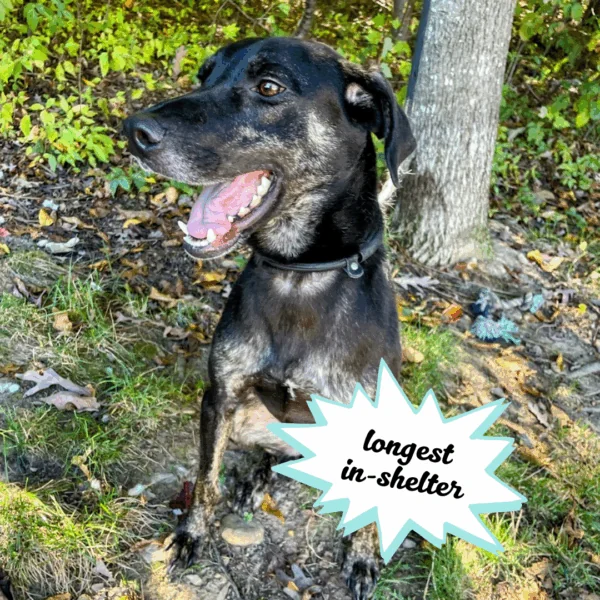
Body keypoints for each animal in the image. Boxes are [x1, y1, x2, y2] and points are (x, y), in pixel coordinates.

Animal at [123, 36, 415, 600]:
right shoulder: (219, 398)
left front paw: (363, 557)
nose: (133, 131)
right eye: (204, 75)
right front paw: (192, 534)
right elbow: (205, 480)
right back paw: (253, 479)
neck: (299, 272)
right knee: (268, 455)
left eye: (269, 87)